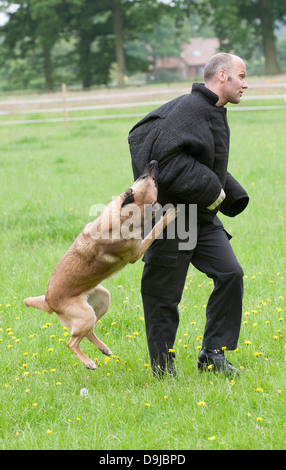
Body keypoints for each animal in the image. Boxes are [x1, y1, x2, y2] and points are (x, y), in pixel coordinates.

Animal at [24, 162, 177, 370]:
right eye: (148, 178)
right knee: (71, 342)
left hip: (103, 299)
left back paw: (104, 348)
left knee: (88, 333)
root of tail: (47, 300)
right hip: (86, 315)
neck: (121, 217)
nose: (153, 162)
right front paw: (169, 214)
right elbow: (154, 230)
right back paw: (88, 362)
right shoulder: (135, 253)